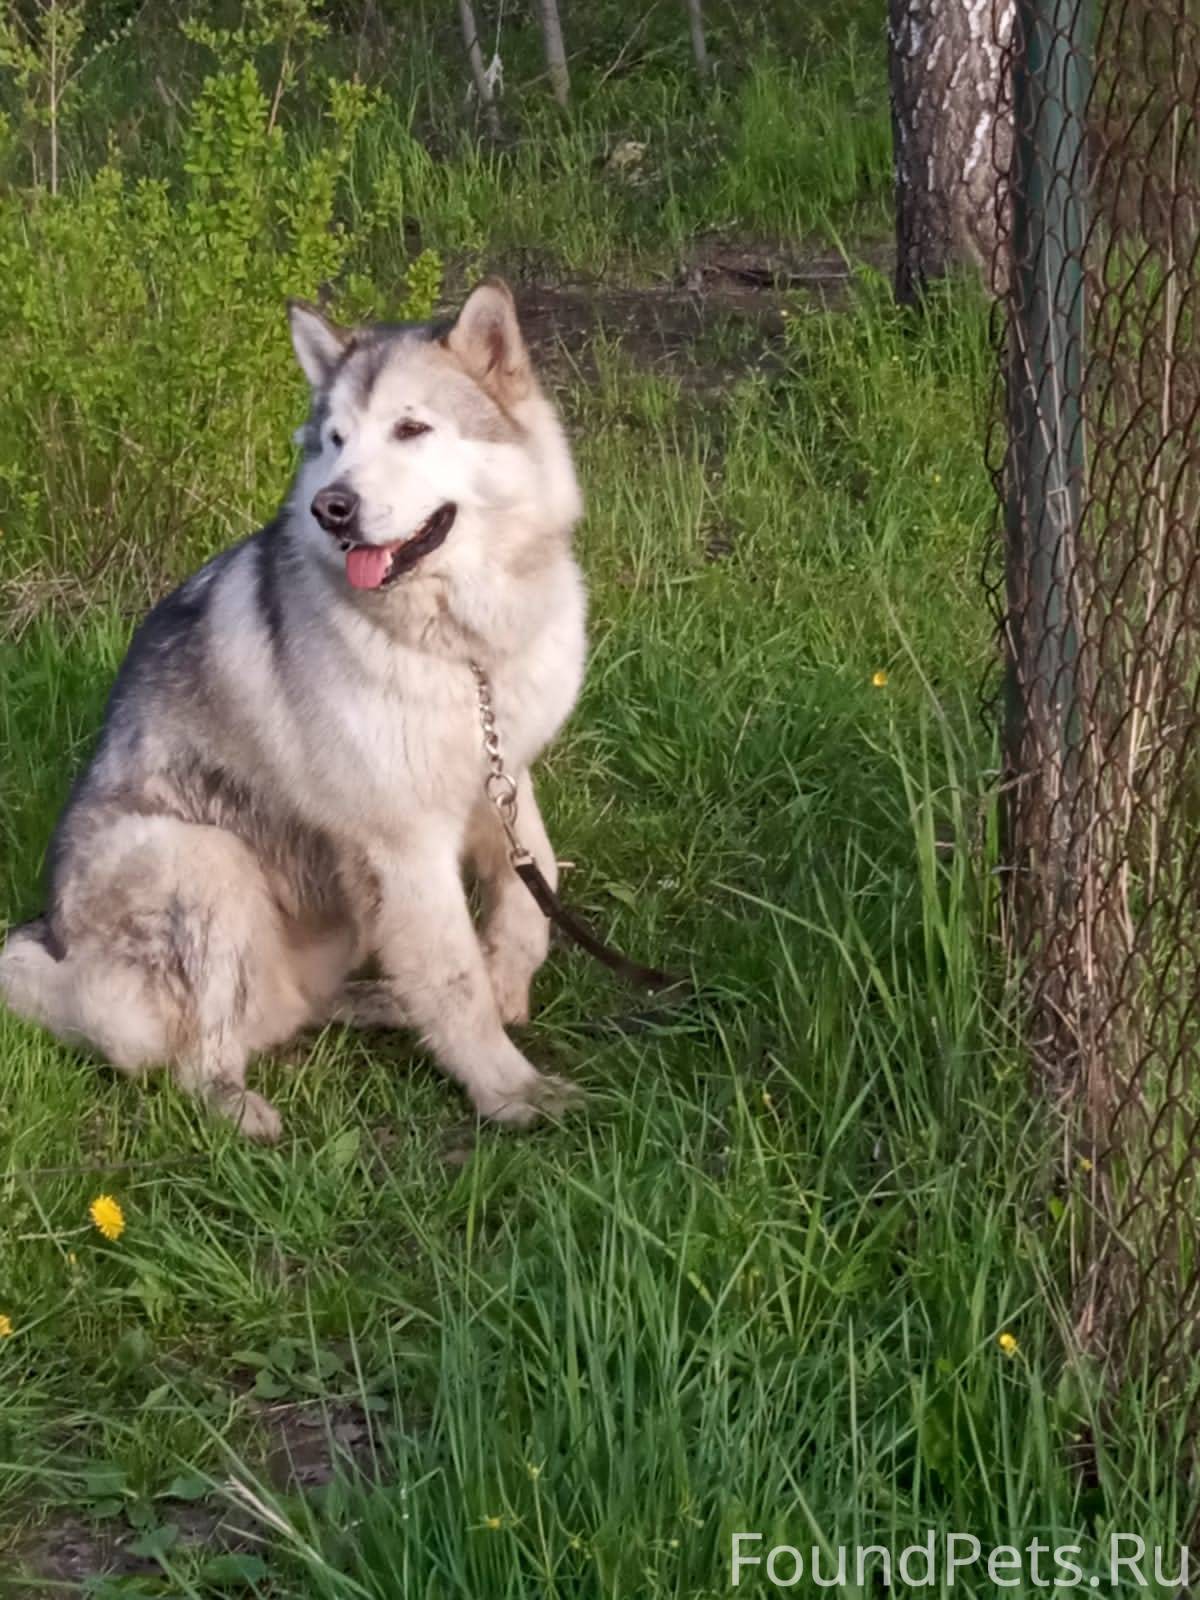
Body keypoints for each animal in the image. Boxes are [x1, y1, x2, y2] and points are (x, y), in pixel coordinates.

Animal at [0, 281, 588, 1145]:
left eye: (412, 428)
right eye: (335, 440)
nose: (330, 507)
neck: (460, 647)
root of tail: (65, 963)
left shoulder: (499, 774)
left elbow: (532, 885)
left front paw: (508, 979)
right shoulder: (407, 845)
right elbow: (454, 978)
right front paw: (509, 1091)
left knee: (304, 1008)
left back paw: (381, 1003)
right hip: (202, 860)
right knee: (196, 1059)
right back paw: (240, 1109)